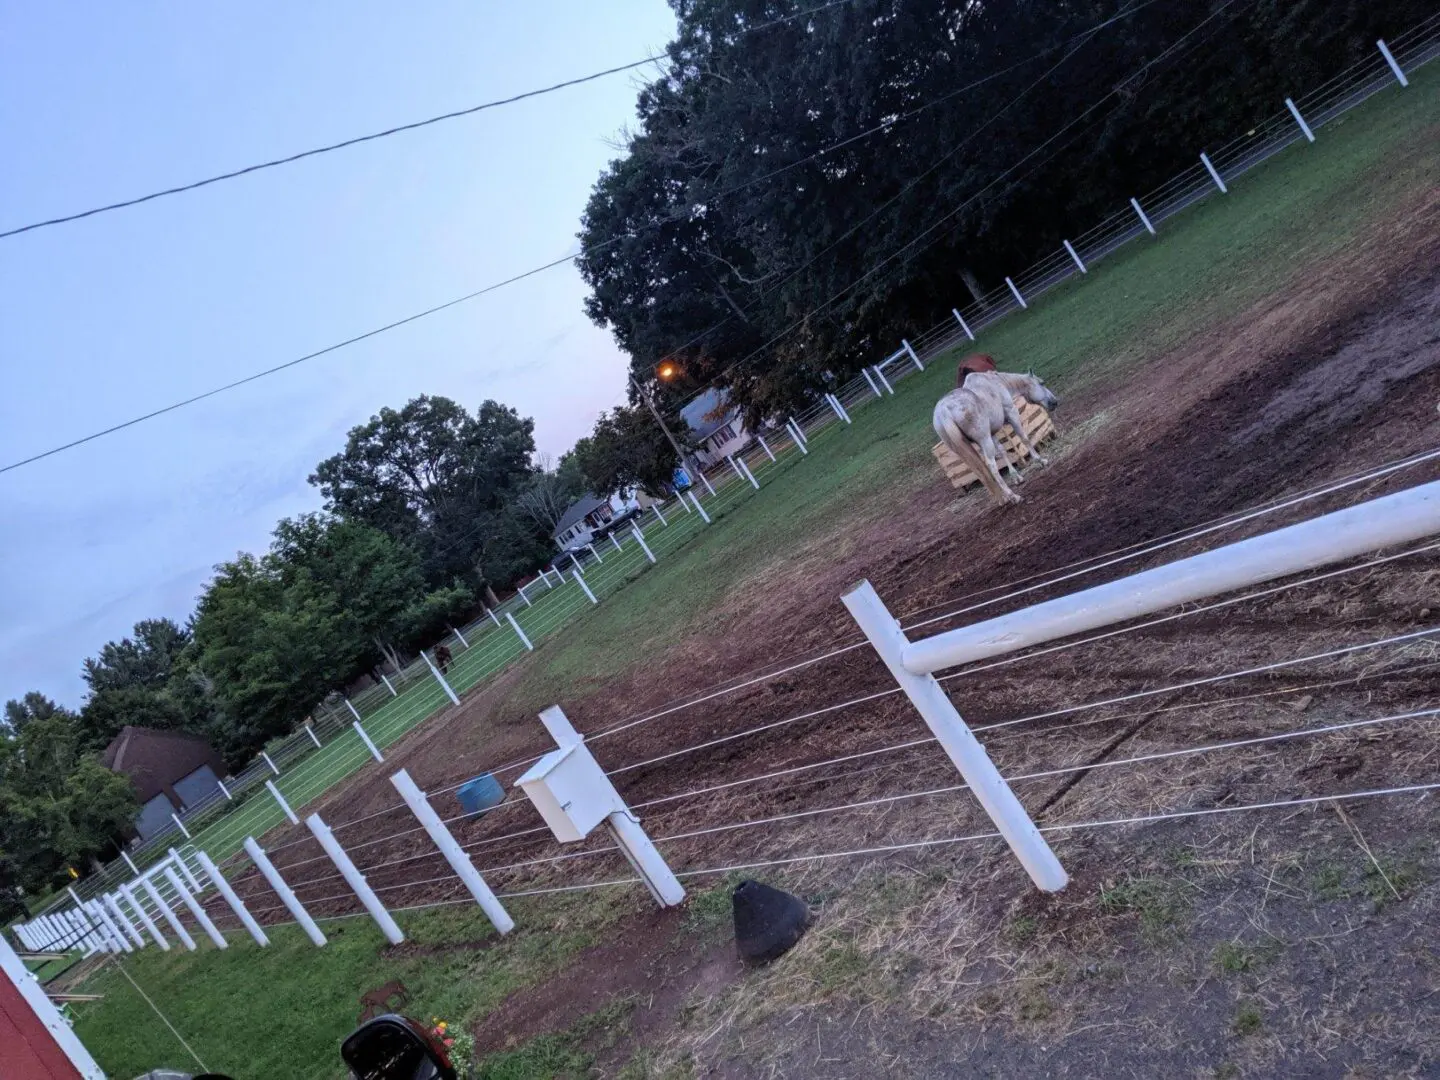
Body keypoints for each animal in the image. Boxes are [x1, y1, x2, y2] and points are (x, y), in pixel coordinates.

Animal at [933, 371, 1059, 506]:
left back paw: (1002, 498)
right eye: (1041, 383)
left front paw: (1016, 476)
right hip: (985, 440)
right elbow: (1024, 438)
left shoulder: (992, 433)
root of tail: (944, 412)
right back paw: (1013, 496)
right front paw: (1040, 460)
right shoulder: (1012, 414)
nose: (1054, 402)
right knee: (991, 465)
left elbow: (1002, 451)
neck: (997, 383)